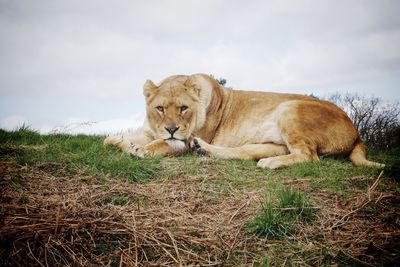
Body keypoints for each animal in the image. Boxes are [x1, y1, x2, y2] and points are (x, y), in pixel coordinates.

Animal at [104, 73, 384, 170]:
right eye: (160, 108)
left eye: (183, 108)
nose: (171, 129)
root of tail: (357, 131)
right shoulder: (151, 130)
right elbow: (111, 140)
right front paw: (121, 142)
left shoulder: (181, 141)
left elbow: (162, 145)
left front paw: (140, 150)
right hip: (270, 143)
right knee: (243, 152)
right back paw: (204, 149)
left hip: (290, 108)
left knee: (309, 156)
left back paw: (270, 164)